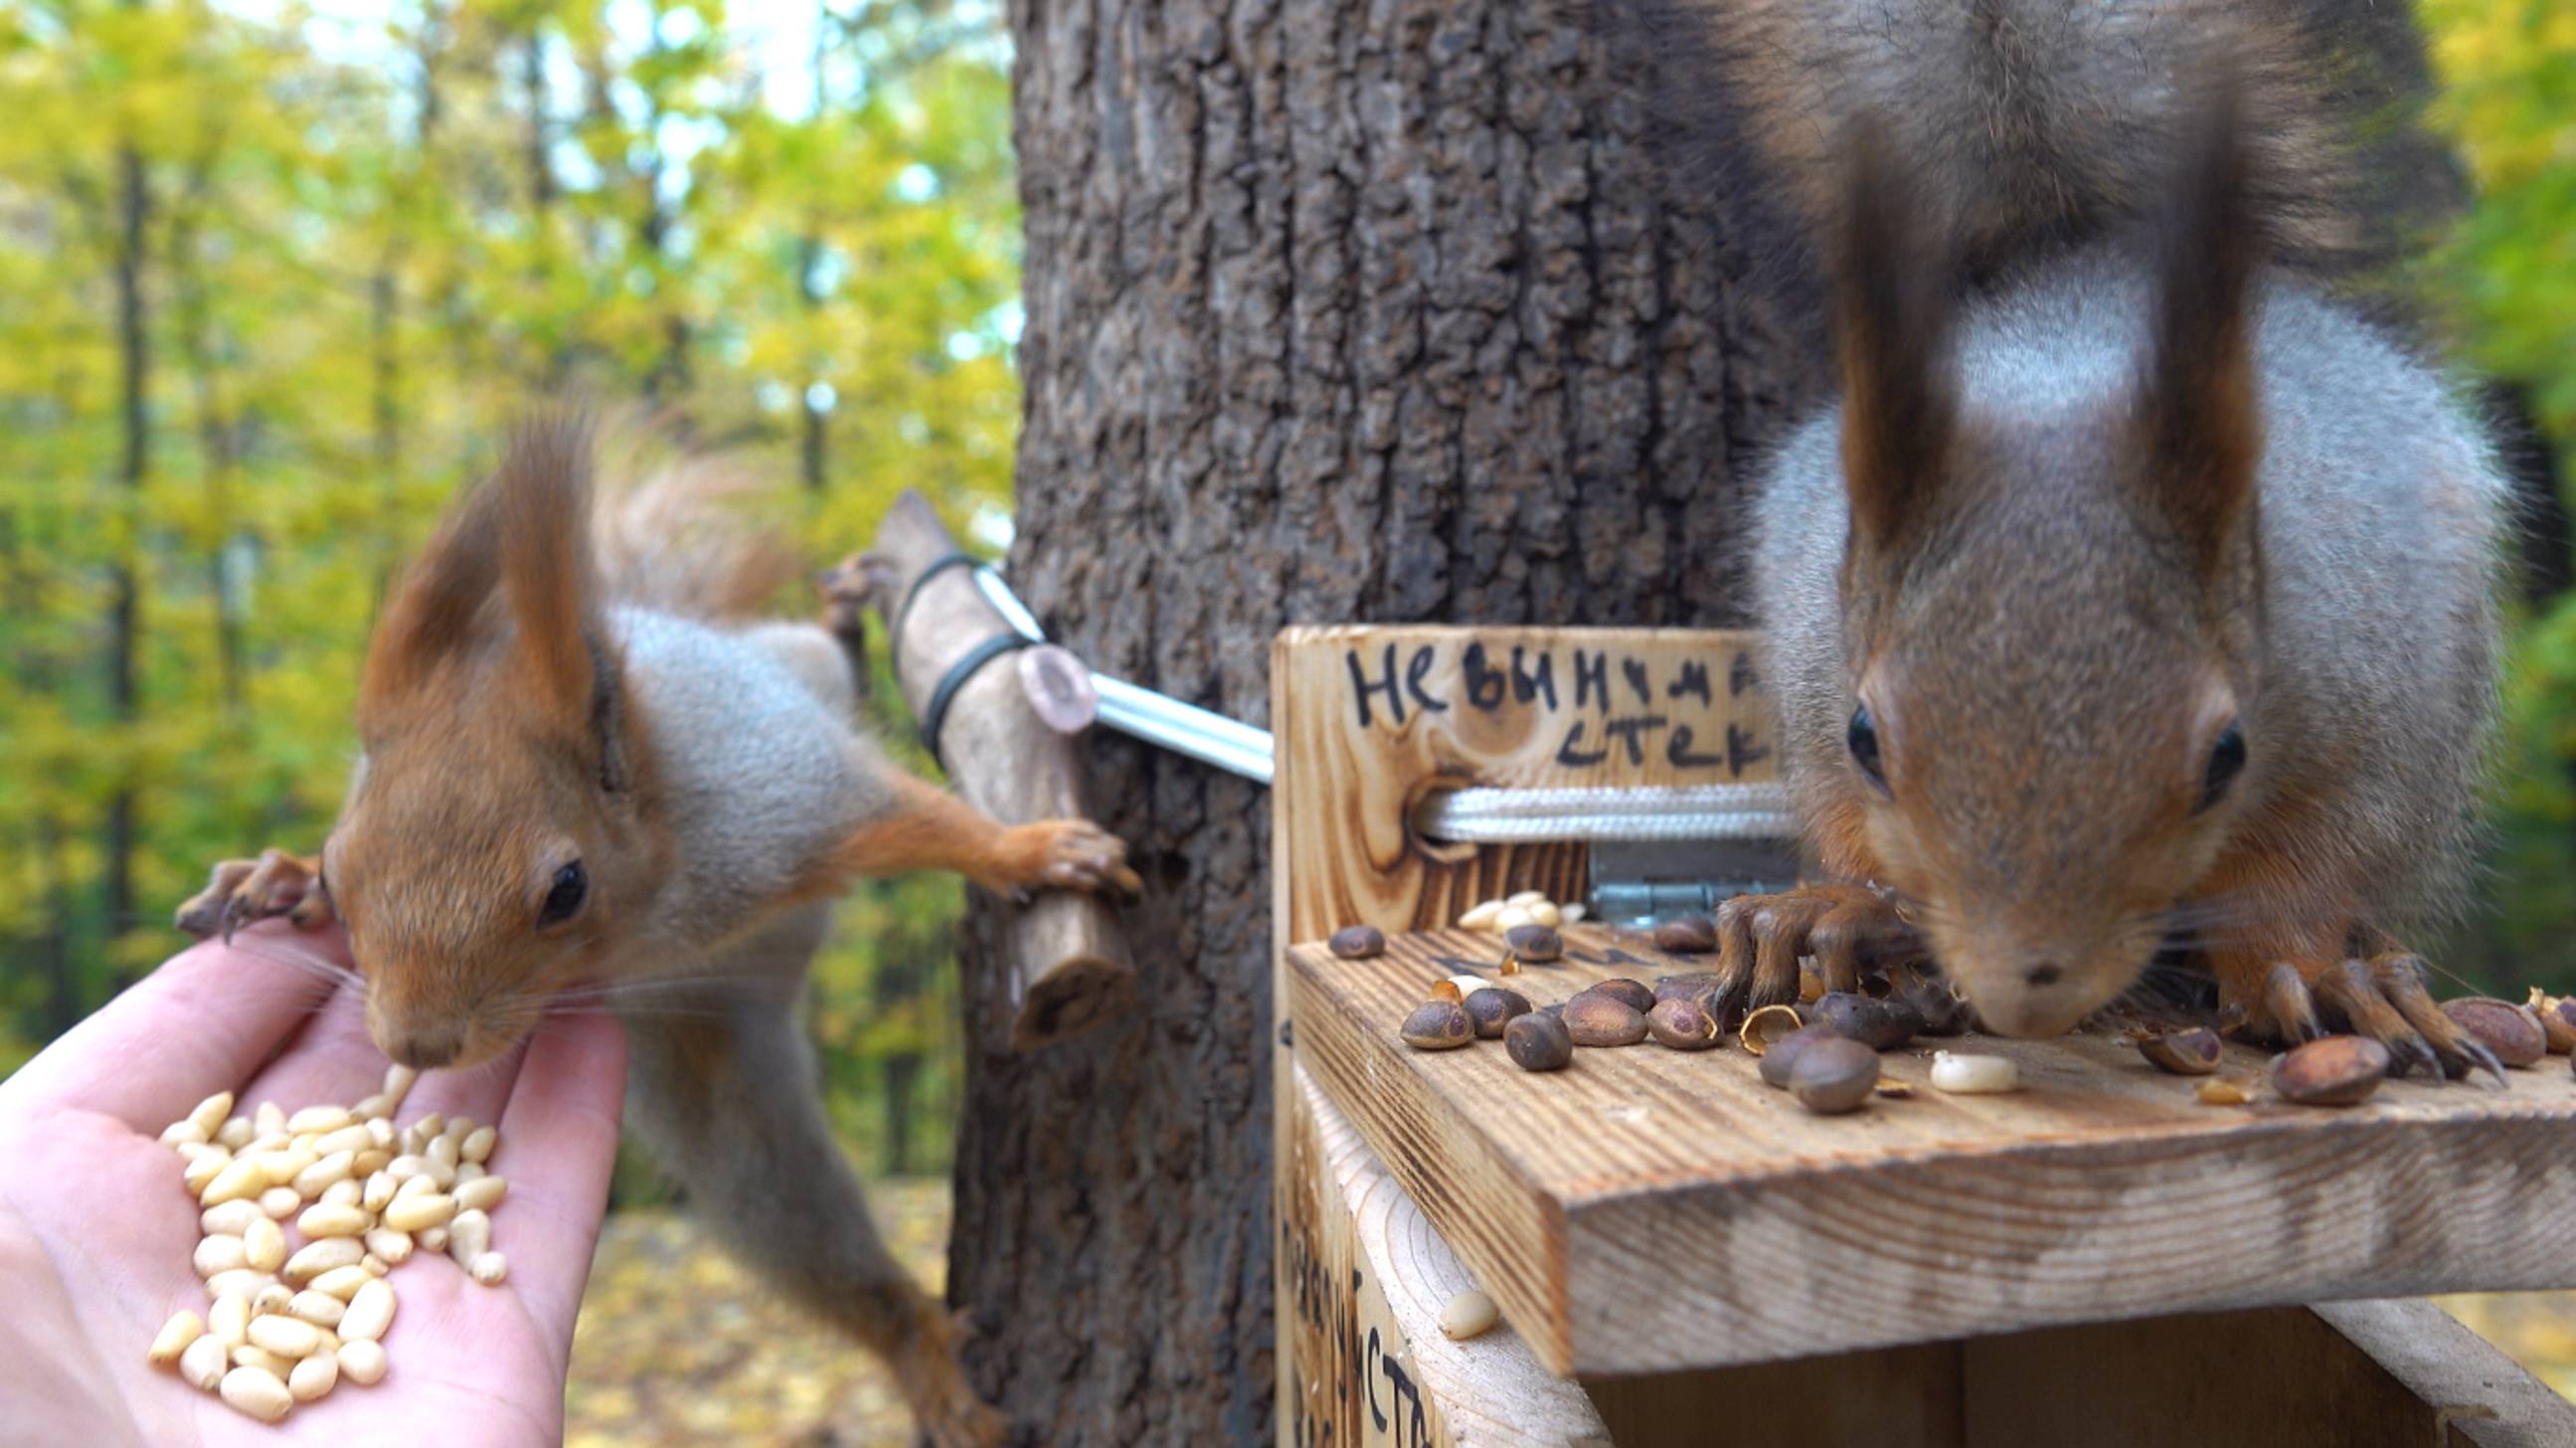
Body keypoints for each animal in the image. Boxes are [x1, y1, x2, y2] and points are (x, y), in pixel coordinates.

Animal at [166, 415, 1122, 1432]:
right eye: (342, 875)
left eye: (565, 889)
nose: (419, 1046)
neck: (649, 913)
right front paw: (288, 877)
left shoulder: (784, 799)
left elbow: (919, 817)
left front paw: (1036, 852)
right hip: (729, 1115)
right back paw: (918, 1349)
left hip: (783, 687)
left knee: (826, 662)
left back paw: (841, 621)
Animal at [1658, 0, 2503, 1071]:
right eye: (1865, 739)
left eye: (2225, 754)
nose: (2025, 995)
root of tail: (2070, 263)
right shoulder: (1814, 664)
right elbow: (1840, 813)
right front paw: (1831, 909)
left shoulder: (2375, 713)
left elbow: (2307, 863)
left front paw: (2309, 970)